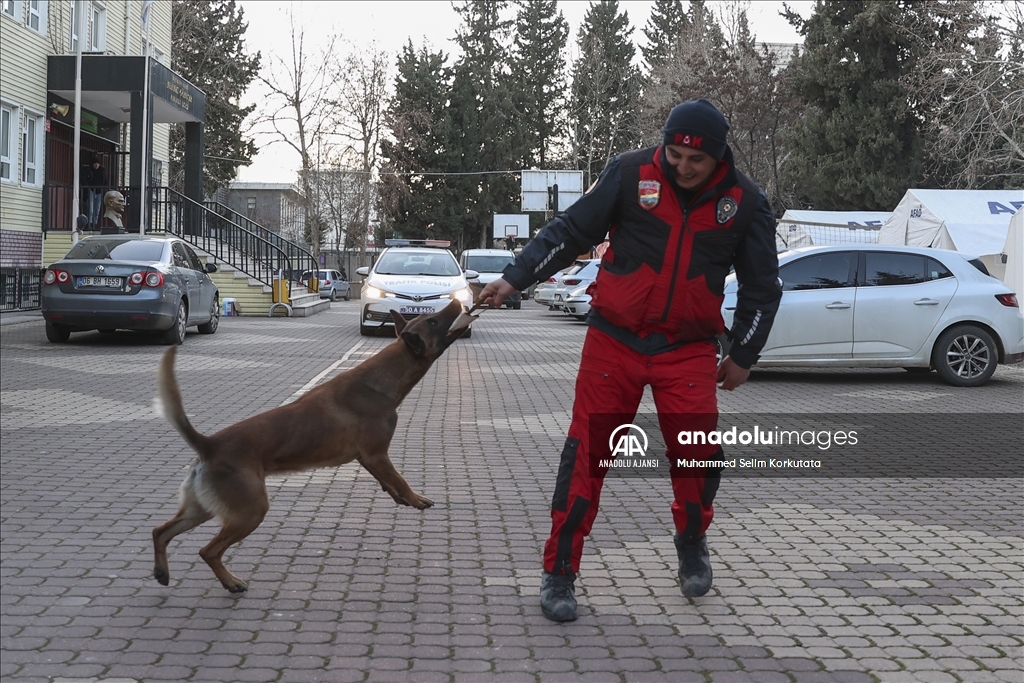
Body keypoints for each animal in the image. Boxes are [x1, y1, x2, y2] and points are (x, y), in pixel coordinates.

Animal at [152, 301, 468, 593]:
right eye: (433, 321)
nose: (455, 301)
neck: (381, 379)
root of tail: (209, 444)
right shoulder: (377, 455)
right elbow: (400, 479)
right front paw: (414, 498)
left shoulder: (369, 459)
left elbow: (388, 481)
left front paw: (399, 497)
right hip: (250, 512)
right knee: (208, 551)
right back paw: (230, 582)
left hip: (203, 509)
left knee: (160, 531)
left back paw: (162, 572)